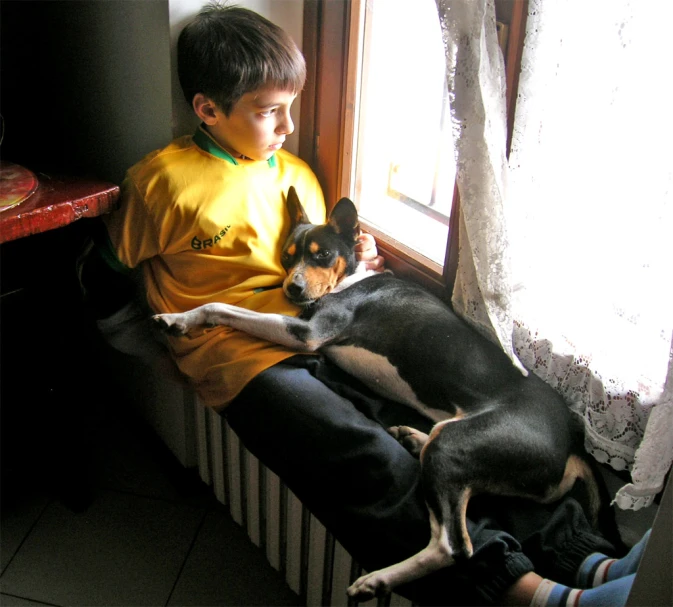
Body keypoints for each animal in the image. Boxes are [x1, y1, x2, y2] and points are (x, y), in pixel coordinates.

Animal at [154, 186, 604, 604]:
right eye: (286, 255)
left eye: (321, 255)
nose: (292, 289)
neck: (350, 279)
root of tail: (571, 448)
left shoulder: (309, 332)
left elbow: (223, 307)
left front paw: (180, 318)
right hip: (460, 445)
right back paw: (412, 437)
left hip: (458, 445)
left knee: (453, 546)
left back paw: (378, 580)